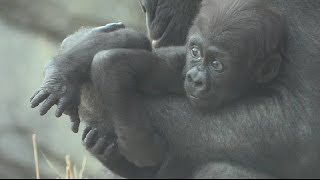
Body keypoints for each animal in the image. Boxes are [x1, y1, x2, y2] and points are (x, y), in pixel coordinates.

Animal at [92, 0, 320, 179]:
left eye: (217, 65)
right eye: (195, 52)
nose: (146, 7)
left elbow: (298, 127)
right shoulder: (178, 66)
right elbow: (118, 64)